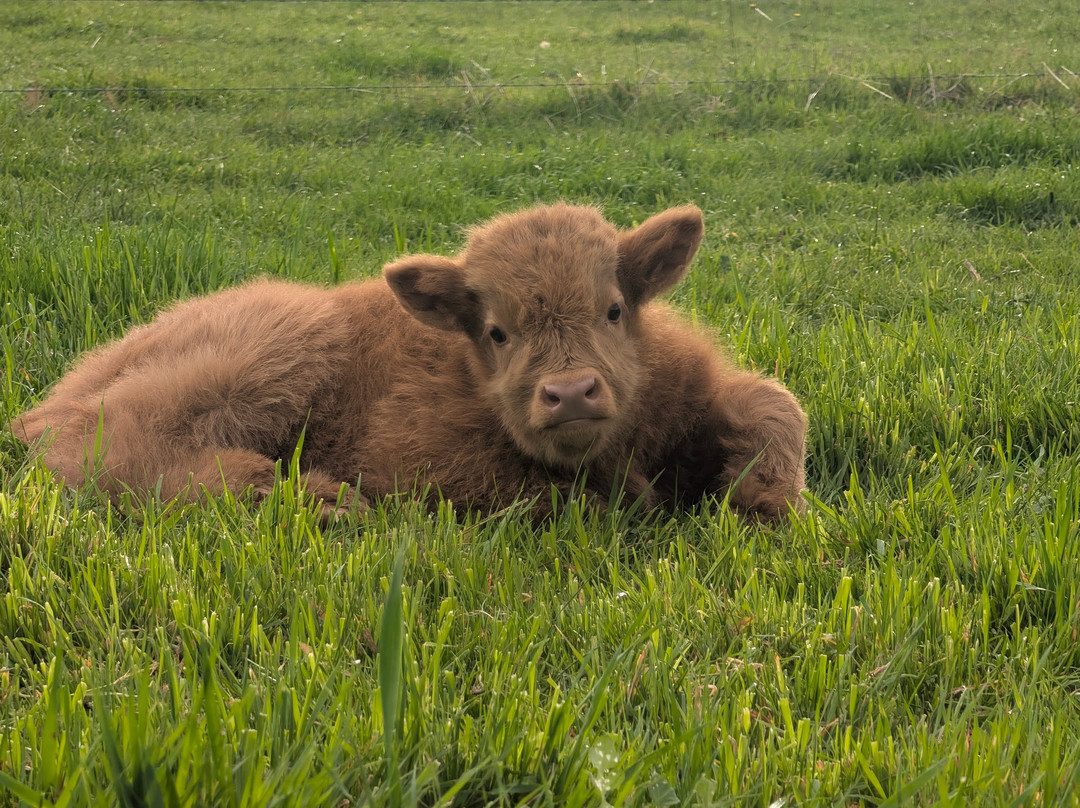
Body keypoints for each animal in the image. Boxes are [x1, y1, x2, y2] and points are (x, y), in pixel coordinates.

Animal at [13, 203, 807, 522]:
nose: (572, 393)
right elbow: (555, 496)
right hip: (272, 354)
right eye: (496, 332)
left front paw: (767, 498)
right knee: (112, 446)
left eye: (613, 309)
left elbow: (775, 401)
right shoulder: (415, 459)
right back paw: (309, 495)